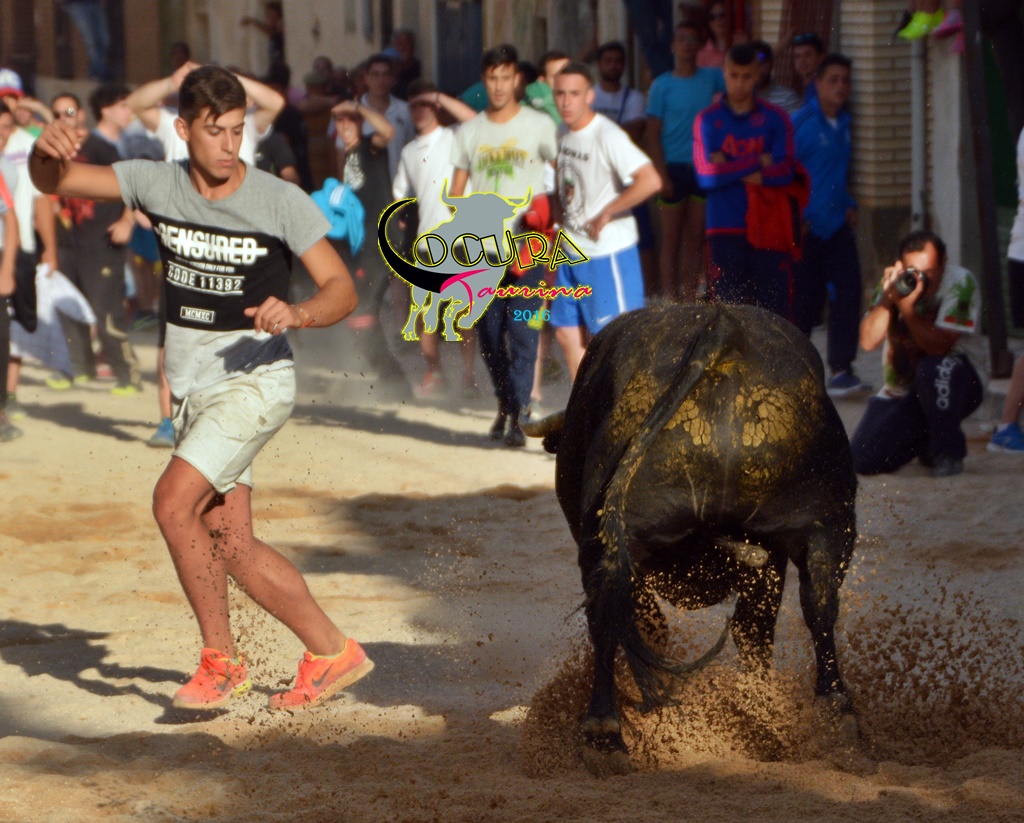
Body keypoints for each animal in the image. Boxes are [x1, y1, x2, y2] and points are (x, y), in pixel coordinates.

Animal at [524, 303, 858, 775]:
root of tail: (719, 325)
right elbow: (756, 628)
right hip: (827, 524)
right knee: (817, 607)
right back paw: (822, 714)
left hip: (609, 544)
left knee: (608, 618)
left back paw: (604, 733)